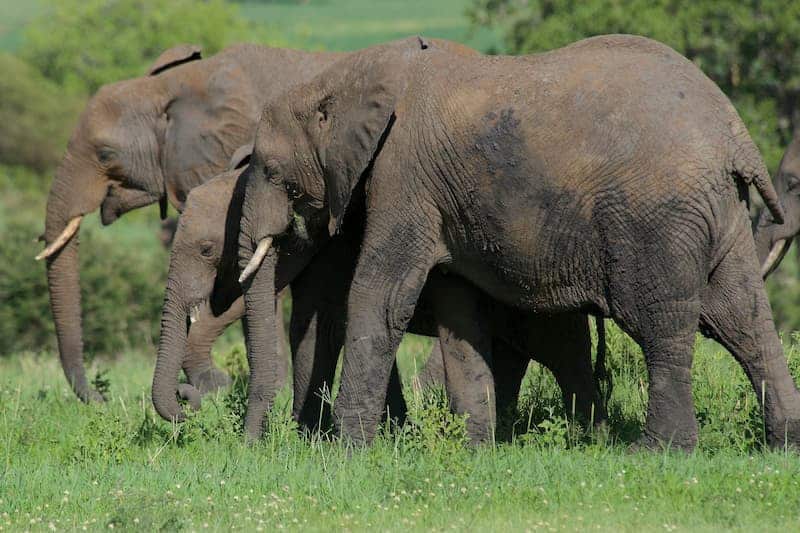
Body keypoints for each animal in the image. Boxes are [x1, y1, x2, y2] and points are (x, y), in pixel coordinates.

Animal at [154, 157, 607, 441]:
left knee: (564, 354)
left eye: (207, 250)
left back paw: (590, 434)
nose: (189, 401)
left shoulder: (338, 250)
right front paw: (388, 433)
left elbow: (326, 326)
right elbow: (317, 326)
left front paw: (312, 438)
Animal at [237, 34, 800, 452]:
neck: (343, 76)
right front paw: (474, 450)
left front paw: (347, 453)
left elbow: (382, 296)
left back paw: (655, 451)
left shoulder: (403, 178)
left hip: (656, 216)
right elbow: (457, 309)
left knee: (660, 322)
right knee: (740, 315)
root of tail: (735, 135)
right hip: (720, 210)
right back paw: (781, 445)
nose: (255, 448)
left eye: (273, 172)